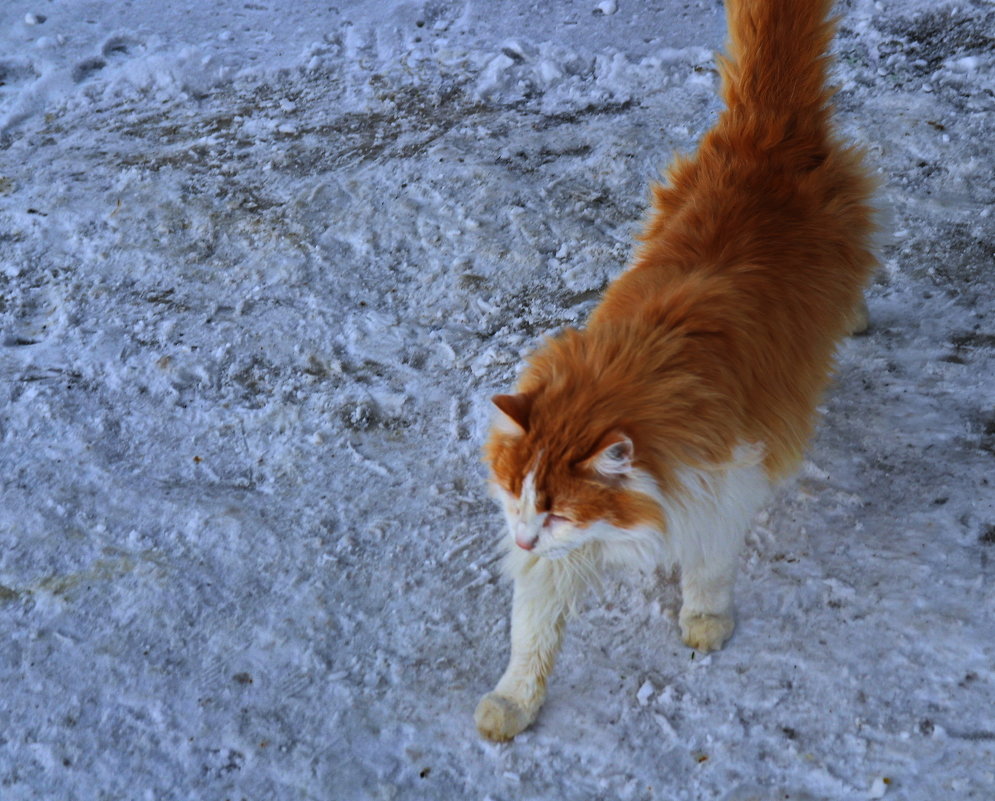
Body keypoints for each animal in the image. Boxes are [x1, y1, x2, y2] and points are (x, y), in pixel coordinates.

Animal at [476, 0, 880, 740]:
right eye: (518, 497)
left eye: (555, 511)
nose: (520, 533)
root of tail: (763, 132)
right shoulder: (561, 555)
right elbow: (533, 631)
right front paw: (513, 702)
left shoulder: (721, 488)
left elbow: (708, 570)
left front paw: (704, 619)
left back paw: (855, 318)